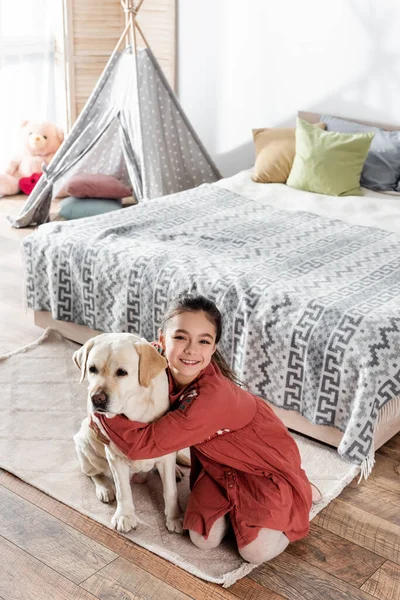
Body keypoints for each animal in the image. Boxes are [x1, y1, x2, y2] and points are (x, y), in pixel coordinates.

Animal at [72, 332, 184, 536]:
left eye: (122, 372)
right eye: (92, 369)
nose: (97, 398)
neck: (134, 412)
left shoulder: (165, 453)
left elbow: (170, 490)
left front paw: (175, 518)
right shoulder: (115, 457)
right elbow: (123, 490)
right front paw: (125, 516)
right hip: (84, 441)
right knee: (93, 473)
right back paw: (105, 489)